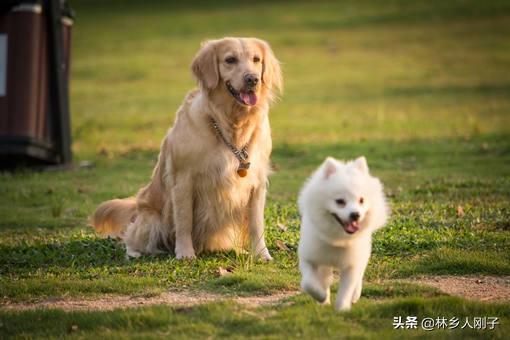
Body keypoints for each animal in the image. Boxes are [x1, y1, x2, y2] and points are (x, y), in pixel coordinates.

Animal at [296, 157, 388, 310]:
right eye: (340, 201)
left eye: (361, 200)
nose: (355, 214)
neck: (338, 239)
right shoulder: (309, 257)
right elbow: (309, 283)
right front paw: (321, 296)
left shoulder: (351, 264)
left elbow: (346, 289)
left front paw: (342, 309)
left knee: (359, 275)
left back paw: (355, 295)